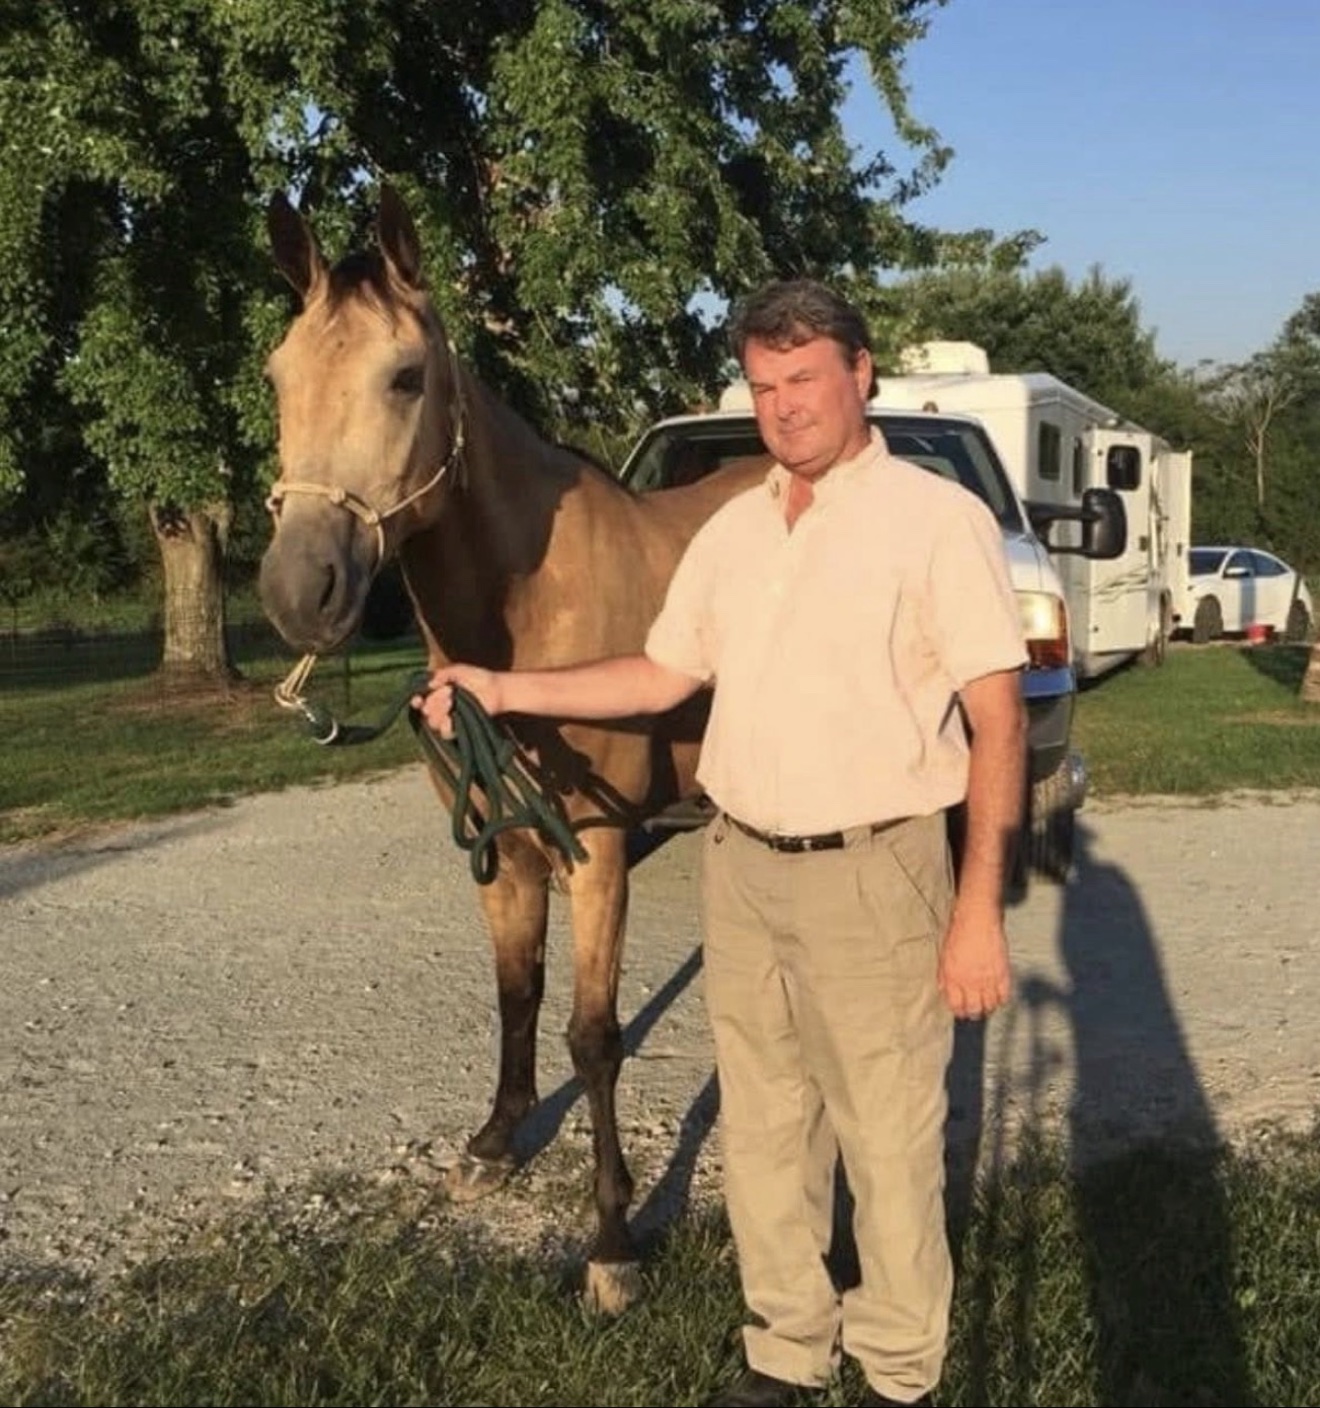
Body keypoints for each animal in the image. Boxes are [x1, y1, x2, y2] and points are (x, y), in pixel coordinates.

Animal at [258, 185, 763, 1312]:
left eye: (405, 376)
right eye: (276, 376)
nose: (299, 591)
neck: (532, 620)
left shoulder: (598, 852)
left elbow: (595, 1036)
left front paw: (612, 1242)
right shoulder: (503, 848)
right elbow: (515, 992)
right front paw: (495, 1141)